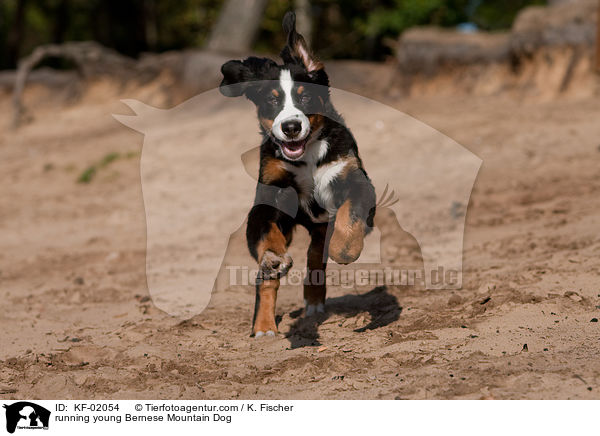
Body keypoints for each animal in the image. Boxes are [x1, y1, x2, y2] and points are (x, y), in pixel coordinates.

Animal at [218, 11, 376, 338]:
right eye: (271, 100)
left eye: (305, 98)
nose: (291, 127)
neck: (308, 160)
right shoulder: (270, 194)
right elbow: (267, 237)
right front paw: (272, 260)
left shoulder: (354, 178)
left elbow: (350, 214)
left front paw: (346, 249)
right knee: (273, 276)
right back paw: (264, 327)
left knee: (316, 257)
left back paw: (314, 300)